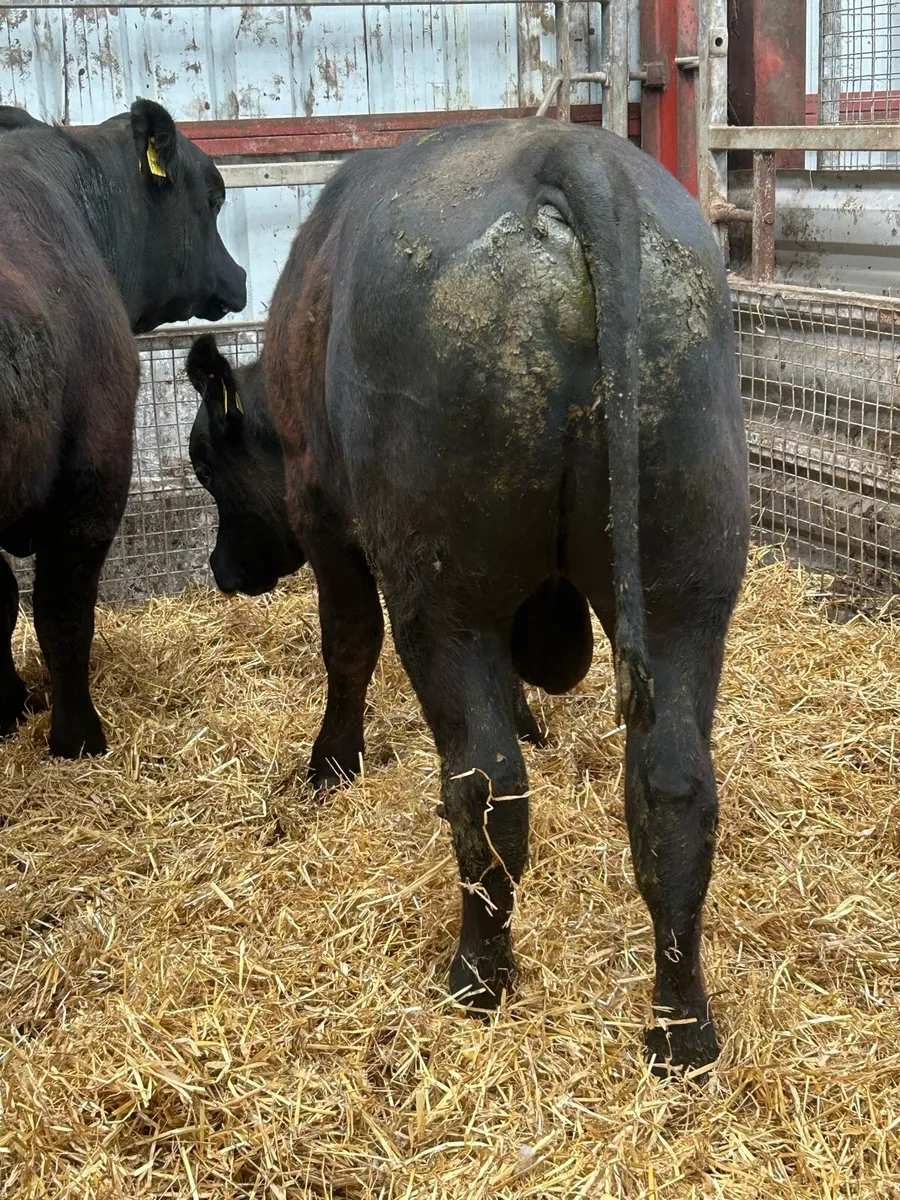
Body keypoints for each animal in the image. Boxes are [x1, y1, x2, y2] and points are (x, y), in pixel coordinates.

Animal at [213, 118, 750, 1073]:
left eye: (207, 469)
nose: (219, 569)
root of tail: (571, 157)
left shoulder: (320, 511)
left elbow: (347, 646)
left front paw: (330, 764)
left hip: (440, 595)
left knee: (487, 786)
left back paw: (476, 977)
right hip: (686, 578)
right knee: (676, 792)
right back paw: (681, 1030)